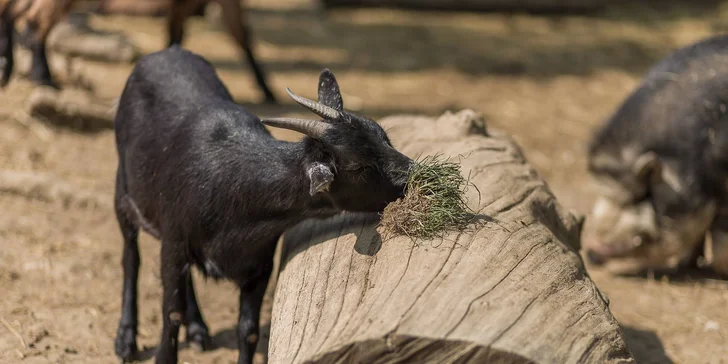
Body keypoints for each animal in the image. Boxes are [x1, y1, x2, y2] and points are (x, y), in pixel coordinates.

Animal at [111, 47, 412, 364]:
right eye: (357, 166)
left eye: (384, 136)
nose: (414, 174)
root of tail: (166, 51)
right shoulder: (174, 243)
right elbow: (171, 314)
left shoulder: (260, 262)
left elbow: (249, 330)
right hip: (123, 192)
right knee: (130, 256)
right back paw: (126, 339)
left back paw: (198, 329)